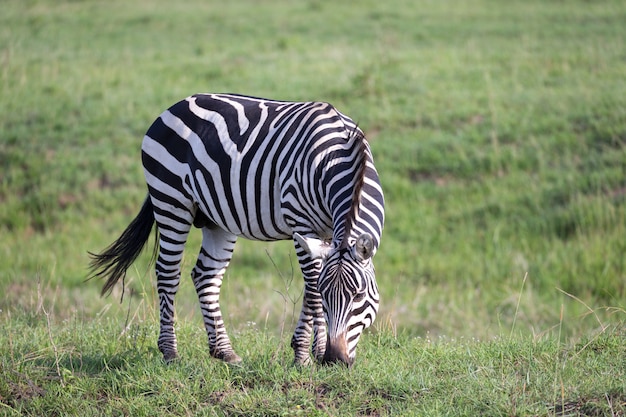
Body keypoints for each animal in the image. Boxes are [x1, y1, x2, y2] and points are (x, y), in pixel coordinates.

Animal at [87, 93, 380, 364]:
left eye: (359, 295)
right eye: (326, 294)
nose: (335, 359)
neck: (338, 156)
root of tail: (175, 106)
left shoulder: (326, 234)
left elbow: (310, 288)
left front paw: (312, 352)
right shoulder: (300, 221)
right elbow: (311, 285)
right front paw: (305, 356)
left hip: (216, 218)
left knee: (205, 275)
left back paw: (224, 352)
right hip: (171, 199)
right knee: (168, 272)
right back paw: (170, 352)